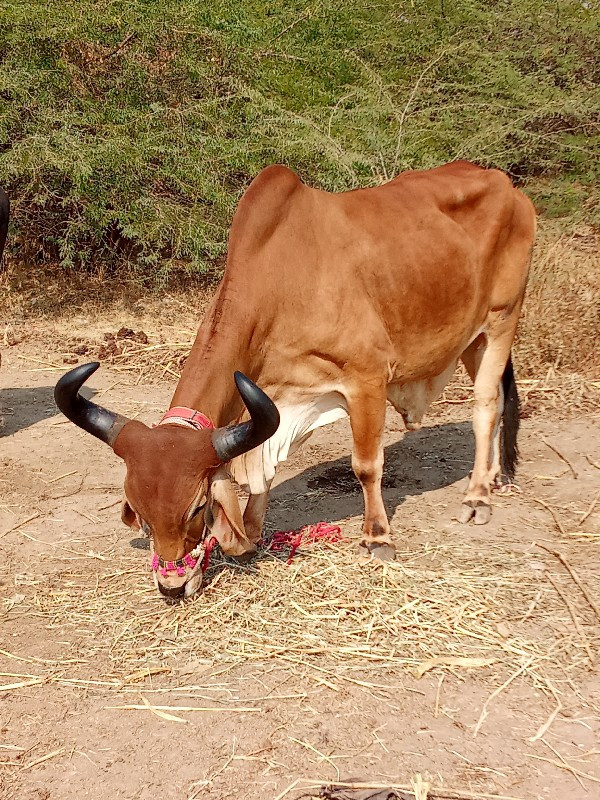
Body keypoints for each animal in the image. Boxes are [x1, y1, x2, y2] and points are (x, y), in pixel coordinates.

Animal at [55, 162, 536, 596]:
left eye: (197, 508)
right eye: (139, 511)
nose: (172, 585)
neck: (283, 281)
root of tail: (508, 186)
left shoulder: (367, 378)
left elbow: (366, 465)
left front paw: (377, 538)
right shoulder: (275, 397)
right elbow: (263, 471)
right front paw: (251, 532)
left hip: (502, 320)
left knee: (485, 407)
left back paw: (477, 496)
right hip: (472, 339)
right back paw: (492, 478)